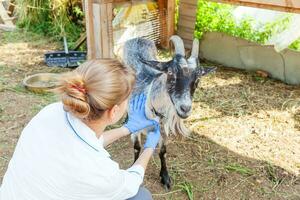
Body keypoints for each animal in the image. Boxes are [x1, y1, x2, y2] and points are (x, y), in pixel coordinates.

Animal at [121, 35, 216, 190]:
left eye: (198, 79)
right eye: (171, 72)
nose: (185, 108)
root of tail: (138, 37)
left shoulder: (164, 130)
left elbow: (163, 151)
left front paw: (165, 177)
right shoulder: (136, 130)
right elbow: (136, 147)